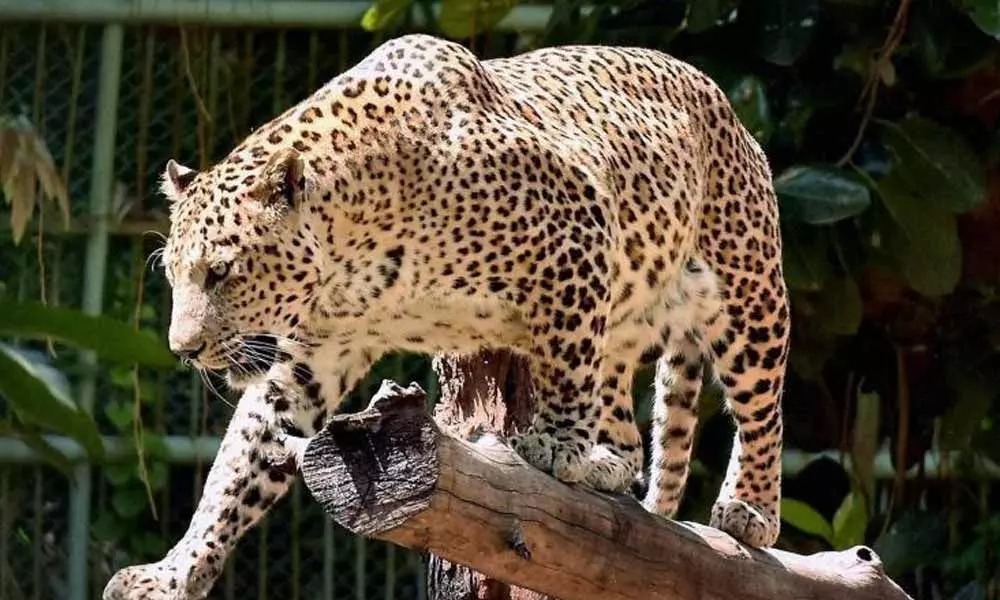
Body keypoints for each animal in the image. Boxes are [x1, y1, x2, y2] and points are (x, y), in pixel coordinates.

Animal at [101, 34, 788, 600]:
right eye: (173, 276)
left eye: (222, 271)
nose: (183, 349)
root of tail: (721, 100)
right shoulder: (312, 356)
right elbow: (239, 467)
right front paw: (174, 573)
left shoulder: (579, 234)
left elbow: (565, 364)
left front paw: (558, 444)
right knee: (620, 410)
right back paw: (608, 463)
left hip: (749, 289)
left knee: (761, 408)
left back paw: (747, 508)